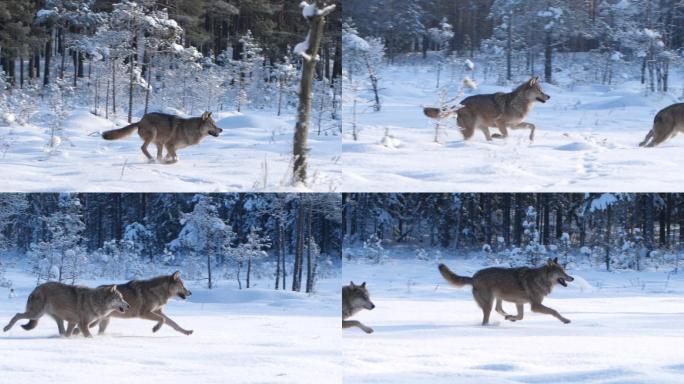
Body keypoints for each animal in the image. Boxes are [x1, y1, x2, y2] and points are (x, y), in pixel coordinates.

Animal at [2, 280, 130, 338]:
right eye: (120, 298)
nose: (128, 306)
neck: (94, 301)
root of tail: (35, 288)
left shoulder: (73, 322)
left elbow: (70, 334)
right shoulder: (83, 324)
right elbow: (89, 336)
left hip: (55, 319)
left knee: (62, 332)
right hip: (35, 314)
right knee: (17, 315)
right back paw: (6, 328)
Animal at [422, 76, 552, 142]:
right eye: (540, 90)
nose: (549, 96)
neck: (520, 102)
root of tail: (460, 104)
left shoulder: (513, 126)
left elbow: (533, 126)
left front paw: (531, 138)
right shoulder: (500, 123)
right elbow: (506, 135)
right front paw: (497, 136)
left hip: (483, 128)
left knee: (487, 138)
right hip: (470, 131)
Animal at [438, 256, 572, 326]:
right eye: (561, 271)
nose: (572, 278)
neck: (542, 278)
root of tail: (474, 277)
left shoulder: (520, 303)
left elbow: (521, 317)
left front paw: (511, 318)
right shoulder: (535, 306)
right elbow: (554, 311)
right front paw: (566, 320)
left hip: (498, 298)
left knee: (498, 309)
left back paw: (508, 316)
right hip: (489, 303)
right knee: (486, 319)